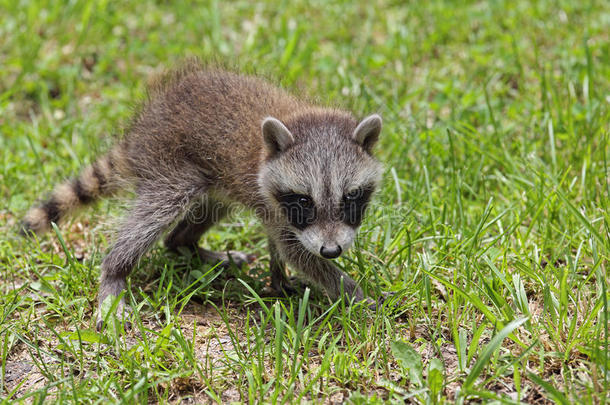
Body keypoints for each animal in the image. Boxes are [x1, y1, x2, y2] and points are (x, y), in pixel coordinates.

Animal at [25, 59, 384, 328]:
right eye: (304, 201)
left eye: (350, 197)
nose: (332, 251)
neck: (303, 118)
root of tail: (138, 131)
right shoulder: (278, 205)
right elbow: (298, 252)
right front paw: (355, 293)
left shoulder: (270, 200)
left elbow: (282, 243)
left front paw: (279, 277)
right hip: (168, 163)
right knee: (156, 213)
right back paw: (115, 271)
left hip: (215, 180)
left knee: (198, 218)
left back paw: (186, 244)